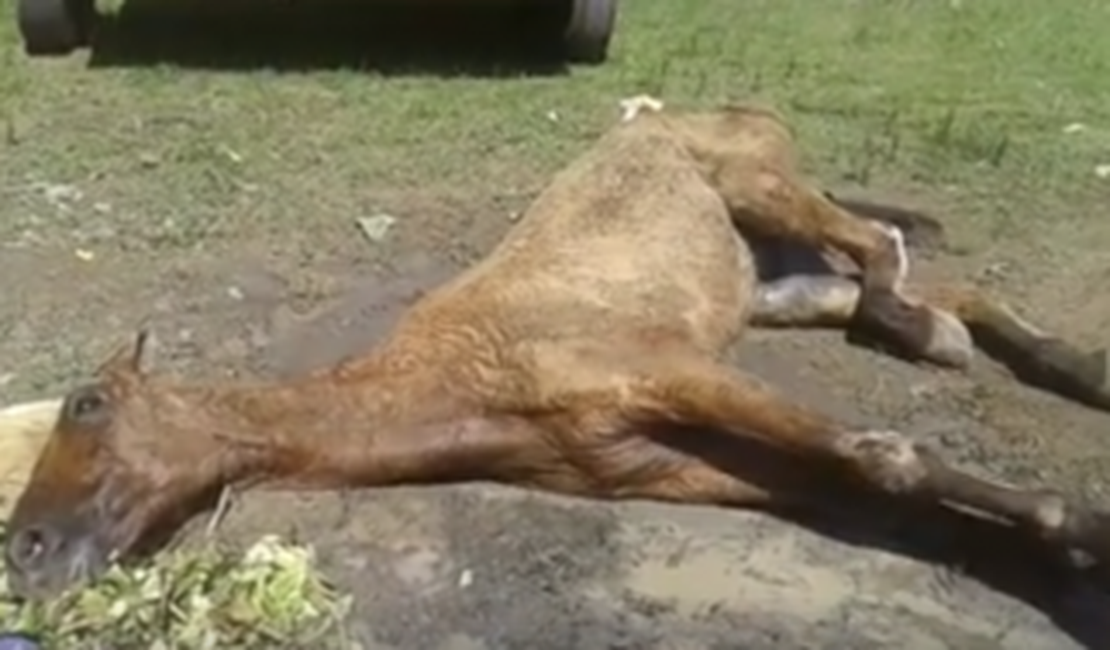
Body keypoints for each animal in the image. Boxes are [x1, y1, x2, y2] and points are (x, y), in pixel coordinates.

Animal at [6, 98, 1110, 598]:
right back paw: (1036, 357)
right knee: (915, 282)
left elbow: (887, 458)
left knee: (882, 253)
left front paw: (1082, 531)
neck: (467, 378)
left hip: (762, 192)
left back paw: (938, 336)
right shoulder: (662, 462)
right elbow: (879, 493)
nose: (26, 552)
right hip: (774, 283)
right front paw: (1057, 539)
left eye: (88, 405)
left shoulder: (673, 370)